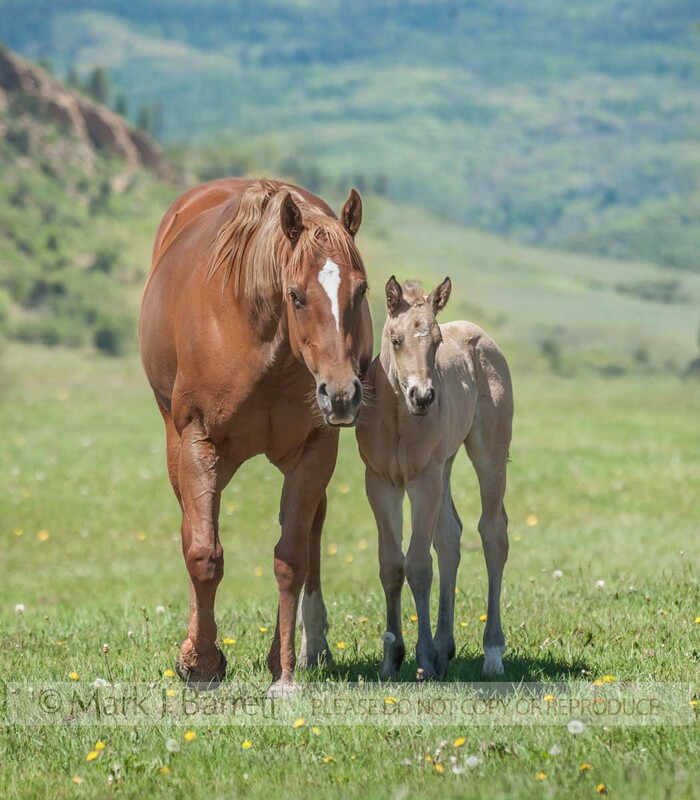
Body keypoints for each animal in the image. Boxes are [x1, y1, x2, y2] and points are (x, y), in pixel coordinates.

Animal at [139, 178, 373, 697]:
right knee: (192, 529)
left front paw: (283, 670)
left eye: (362, 289)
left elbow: (292, 557)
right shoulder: (199, 442)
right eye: (297, 296)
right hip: (178, 446)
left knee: (311, 533)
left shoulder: (314, 450)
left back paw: (313, 647)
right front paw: (202, 663)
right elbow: (203, 553)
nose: (342, 394)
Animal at [356, 276, 513, 679]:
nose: (423, 397)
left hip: (488, 456)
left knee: (493, 533)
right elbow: (391, 565)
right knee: (450, 536)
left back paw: (492, 652)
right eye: (396, 340)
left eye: (437, 341)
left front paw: (423, 659)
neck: (397, 417)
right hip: (446, 463)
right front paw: (391, 659)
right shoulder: (381, 483)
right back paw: (445, 648)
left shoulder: (422, 480)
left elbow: (418, 565)